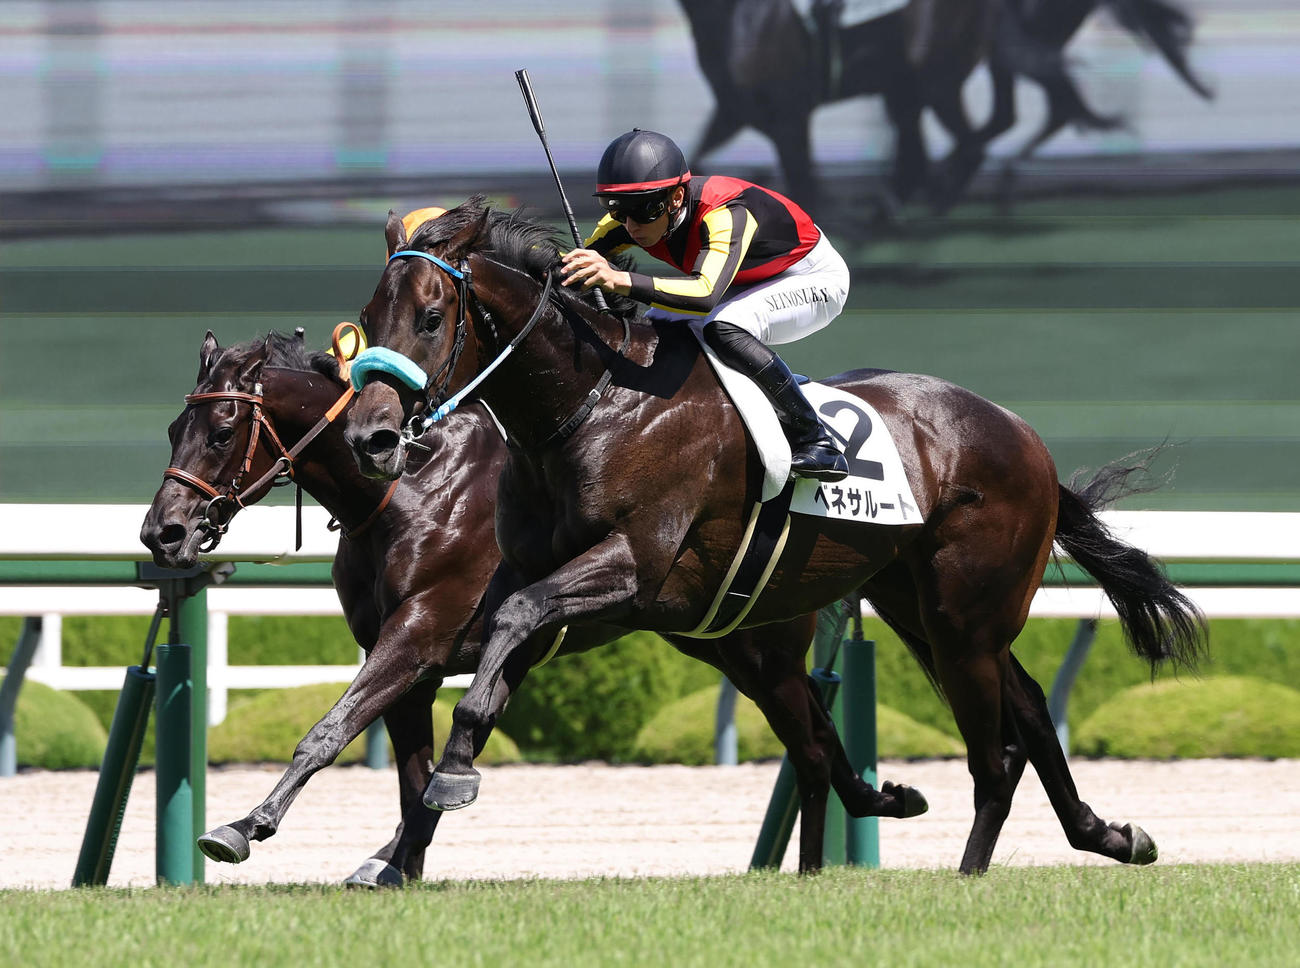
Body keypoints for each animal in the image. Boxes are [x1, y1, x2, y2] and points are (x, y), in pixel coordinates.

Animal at [139, 328, 630, 886]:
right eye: (175, 428)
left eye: (222, 433)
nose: (161, 533)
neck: (409, 492)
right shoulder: (409, 663)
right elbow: (415, 777)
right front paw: (398, 865)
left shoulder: (416, 639)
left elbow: (333, 732)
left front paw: (246, 825)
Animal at [344, 197, 1207, 874]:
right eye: (366, 323)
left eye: (430, 318)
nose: (370, 438)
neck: (590, 405)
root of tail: (1025, 436)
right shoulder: (533, 575)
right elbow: (482, 652)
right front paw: (412, 828)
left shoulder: (633, 566)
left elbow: (516, 620)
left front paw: (444, 781)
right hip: (918, 604)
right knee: (1024, 708)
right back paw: (1109, 836)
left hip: (963, 616)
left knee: (995, 753)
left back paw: (972, 875)